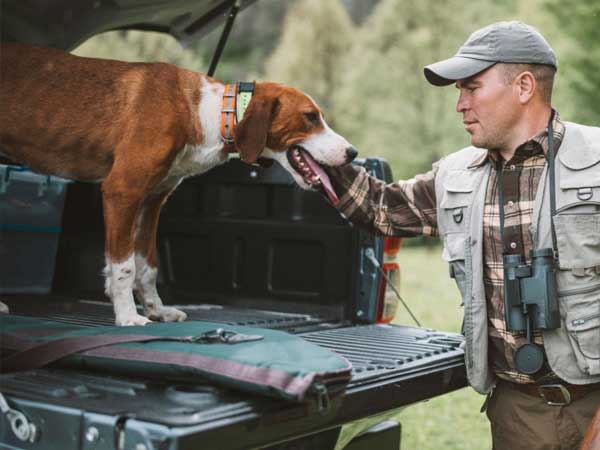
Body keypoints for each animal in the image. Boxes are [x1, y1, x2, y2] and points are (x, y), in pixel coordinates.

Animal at [0, 42, 356, 326]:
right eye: (311, 117)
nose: (352, 152)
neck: (207, 112)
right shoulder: (123, 190)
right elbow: (124, 267)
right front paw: (128, 317)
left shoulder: (152, 201)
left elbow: (148, 266)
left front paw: (157, 310)